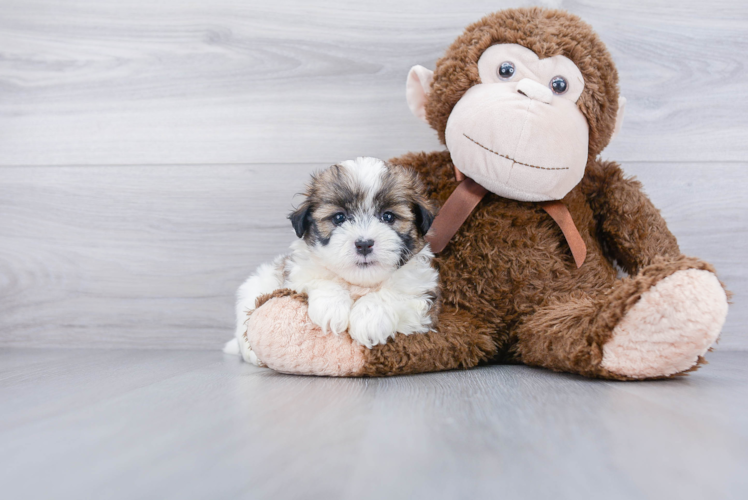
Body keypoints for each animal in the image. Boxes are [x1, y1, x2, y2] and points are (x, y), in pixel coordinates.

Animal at [225, 156, 442, 364]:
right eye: (339, 218)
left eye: (388, 216)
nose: (364, 244)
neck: (359, 284)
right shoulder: (297, 276)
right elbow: (320, 281)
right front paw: (332, 308)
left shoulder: (421, 294)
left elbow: (394, 294)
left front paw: (369, 317)